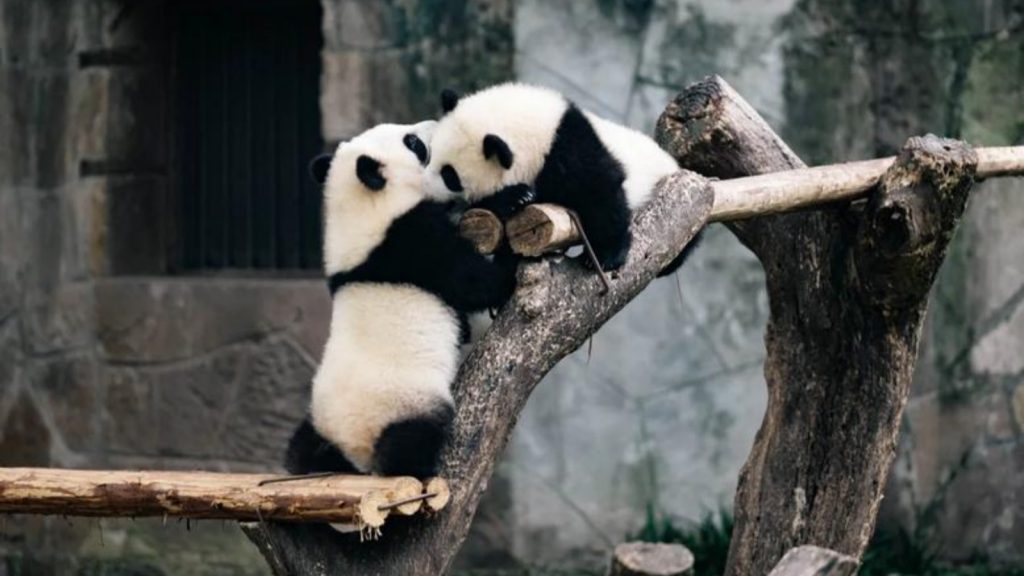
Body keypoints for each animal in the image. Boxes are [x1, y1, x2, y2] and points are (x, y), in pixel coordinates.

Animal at [285, 120, 515, 479]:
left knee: (299, 448)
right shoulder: (408, 240)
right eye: (413, 143)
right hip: (407, 402)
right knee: (410, 441)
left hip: (319, 417)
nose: (434, 124)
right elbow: (473, 281)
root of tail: (356, 450)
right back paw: (416, 471)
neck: (362, 208)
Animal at [425, 82, 695, 275]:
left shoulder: (569, 151)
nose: (426, 190)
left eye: (450, 175)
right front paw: (515, 197)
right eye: (429, 155)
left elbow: (601, 192)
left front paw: (605, 256)